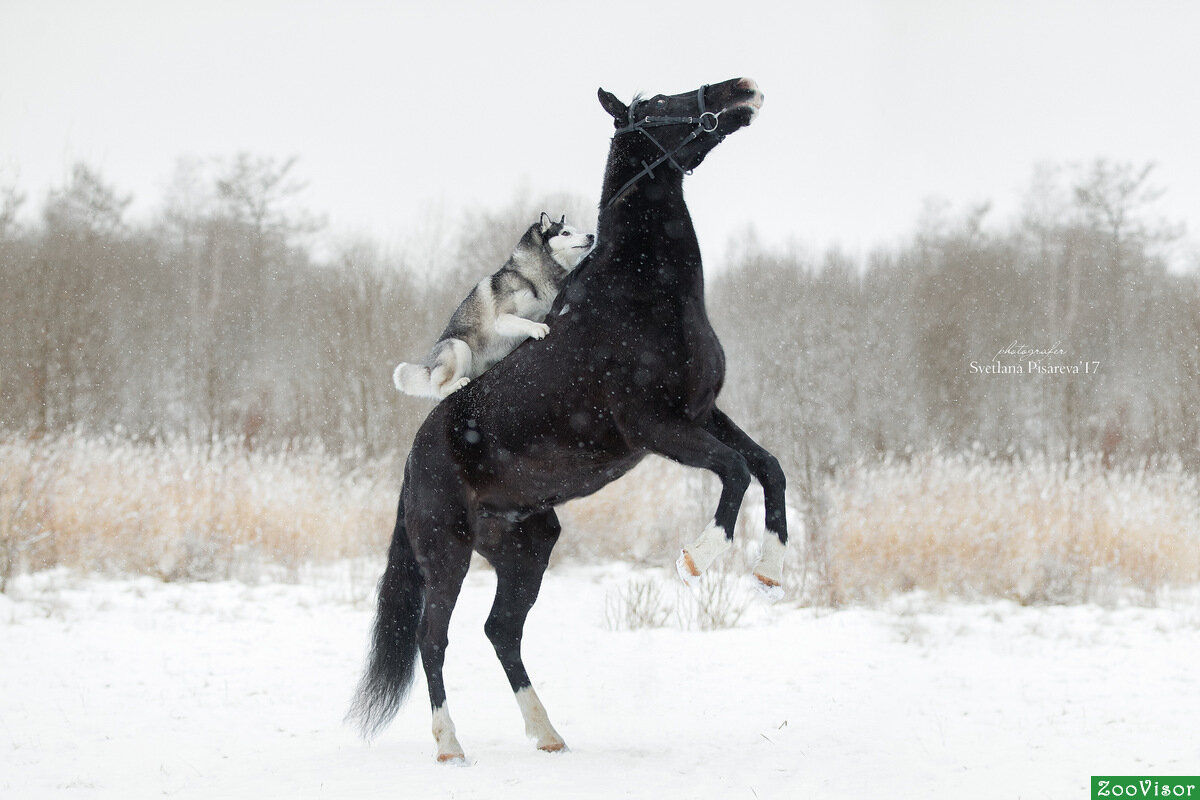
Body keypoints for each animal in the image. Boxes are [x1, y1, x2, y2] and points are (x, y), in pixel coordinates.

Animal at [393, 212, 595, 400]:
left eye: (576, 230)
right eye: (565, 233)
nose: (591, 236)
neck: (531, 274)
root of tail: (429, 367)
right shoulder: (503, 319)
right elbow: (524, 321)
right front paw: (537, 328)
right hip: (459, 347)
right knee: (440, 391)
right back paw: (457, 385)